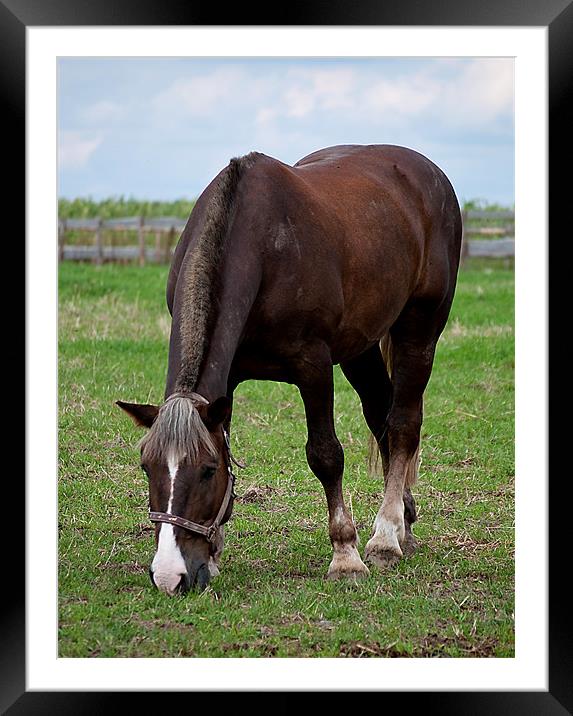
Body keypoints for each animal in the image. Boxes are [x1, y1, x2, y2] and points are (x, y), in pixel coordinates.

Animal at [116, 144, 460, 592]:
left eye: (207, 471)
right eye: (147, 467)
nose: (170, 576)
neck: (260, 249)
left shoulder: (313, 366)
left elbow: (326, 455)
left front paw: (346, 556)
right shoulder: (228, 381)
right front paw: (214, 554)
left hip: (419, 331)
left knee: (403, 423)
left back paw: (386, 537)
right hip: (360, 348)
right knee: (380, 415)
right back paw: (404, 523)